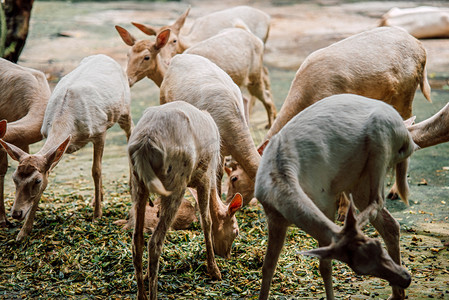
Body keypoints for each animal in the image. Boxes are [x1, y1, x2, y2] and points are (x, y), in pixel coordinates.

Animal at [128, 101, 243, 300]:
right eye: (235, 231)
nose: (227, 255)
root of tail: (145, 144)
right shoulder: (205, 176)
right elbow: (206, 220)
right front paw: (214, 271)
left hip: (138, 184)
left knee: (137, 240)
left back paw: (141, 294)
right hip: (176, 181)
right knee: (154, 243)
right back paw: (153, 294)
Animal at [226, 25, 432, 213]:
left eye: (234, 177)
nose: (231, 201)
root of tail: (421, 48)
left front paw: (343, 211)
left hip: (406, 94)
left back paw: (394, 192)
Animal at [256, 94, 412, 300]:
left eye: (377, 247)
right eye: (359, 268)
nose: (406, 278)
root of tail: (407, 136)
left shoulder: (325, 200)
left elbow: (325, 267)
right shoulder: (274, 217)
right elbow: (268, 267)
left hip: (381, 144)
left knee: (378, 199)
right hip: (360, 181)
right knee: (390, 224)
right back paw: (396, 295)